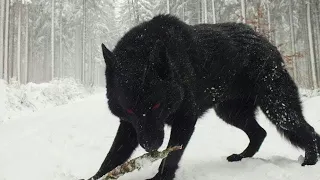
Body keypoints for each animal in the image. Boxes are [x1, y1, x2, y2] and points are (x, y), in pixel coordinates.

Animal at [86, 14, 318, 180]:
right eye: (130, 109)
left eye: (157, 105)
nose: (150, 146)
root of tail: (265, 41)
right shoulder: (130, 127)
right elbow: (112, 157)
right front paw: (96, 177)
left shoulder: (185, 120)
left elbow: (171, 156)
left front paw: (160, 178)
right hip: (231, 113)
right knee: (259, 133)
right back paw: (241, 157)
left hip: (278, 109)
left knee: (309, 132)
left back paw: (309, 162)